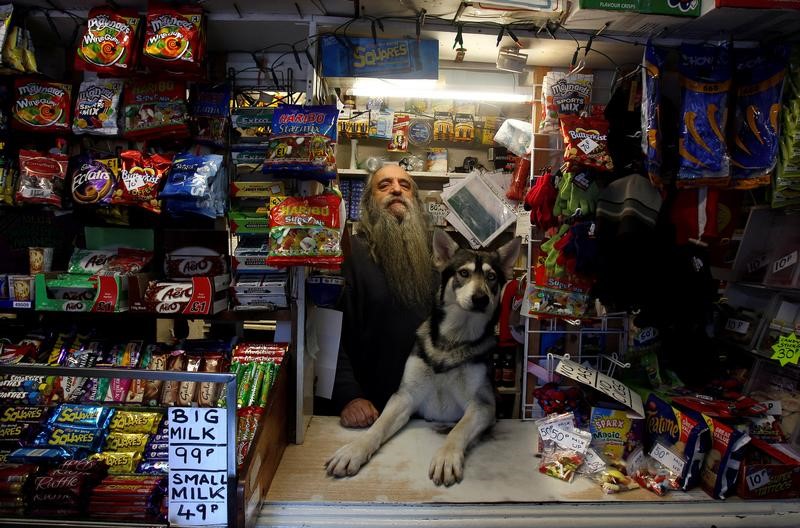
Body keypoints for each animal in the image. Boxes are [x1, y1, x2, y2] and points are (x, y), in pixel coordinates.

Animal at [326, 231, 520, 486]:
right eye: (463, 273)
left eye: (492, 277)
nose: (480, 299)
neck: (453, 339)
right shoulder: (405, 397)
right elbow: (377, 427)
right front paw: (353, 450)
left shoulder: (482, 405)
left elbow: (457, 429)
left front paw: (446, 458)